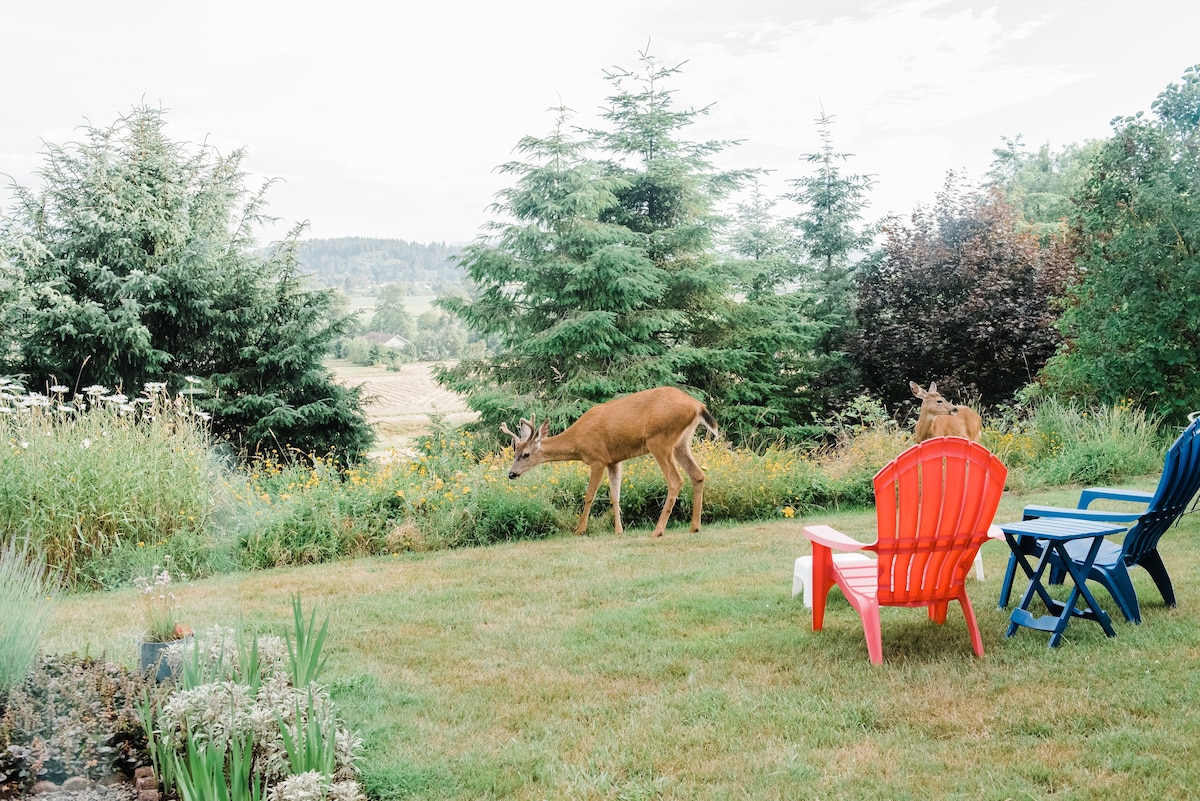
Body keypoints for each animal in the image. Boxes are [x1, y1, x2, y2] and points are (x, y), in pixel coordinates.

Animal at [499, 386, 715, 537]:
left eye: (526, 454)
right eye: (514, 452)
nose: (511, 473)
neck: (578, 440)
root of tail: (697, 405)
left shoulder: (598, 458)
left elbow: (589, 495)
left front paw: (580, 529)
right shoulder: (614, 461)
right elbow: (615, 496)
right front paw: (619, 530)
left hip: (659, 440)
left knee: (676, 480)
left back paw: (658, 531)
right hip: (681, 443)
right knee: (698, 475)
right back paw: (694, 527)